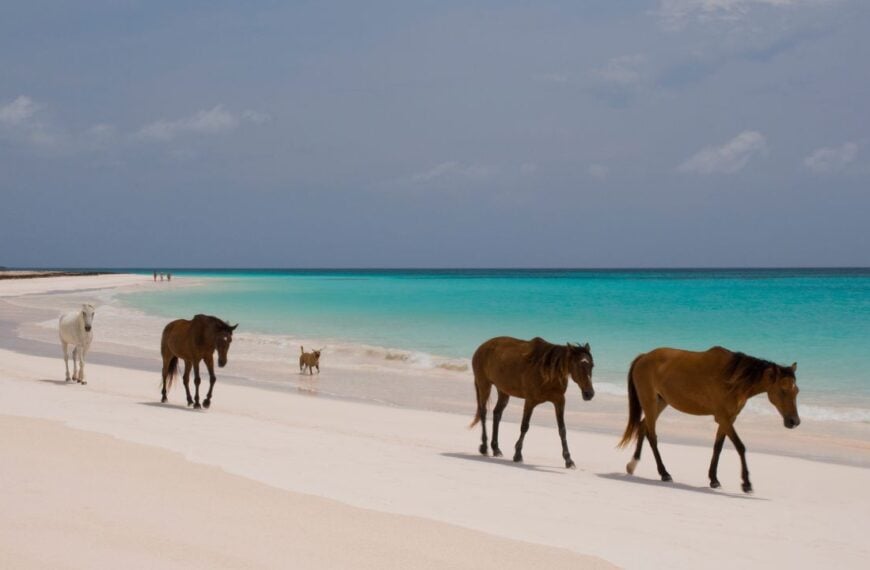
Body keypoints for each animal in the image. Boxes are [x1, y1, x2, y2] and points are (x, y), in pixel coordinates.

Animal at [471, 336, 595, 468]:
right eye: (578, 365)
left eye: (592, 365)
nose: (589, 394)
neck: (548, 371)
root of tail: (481, 347)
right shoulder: (530, 401)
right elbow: (524, 426)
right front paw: (518, 455)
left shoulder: (559, 401)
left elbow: (562, 430)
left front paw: (569, 460)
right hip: (484, 385)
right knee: (483, 413)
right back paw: (484, 447)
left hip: (503, 391)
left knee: (497, 414)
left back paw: (496, 449)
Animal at [618, 346, 800, 493]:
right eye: (783, 390)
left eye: (796, 390)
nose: (794, 421)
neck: (733, 379)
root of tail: (643, 357)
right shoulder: (723, 417)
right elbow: (740, 446)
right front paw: (746, 483)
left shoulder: (729, 418)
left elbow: (718, 447)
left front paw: (714, 480)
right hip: (649, 401)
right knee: (652, 436)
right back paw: (664, 473)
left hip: (660, 402)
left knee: (643, 427)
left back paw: (632, 464)